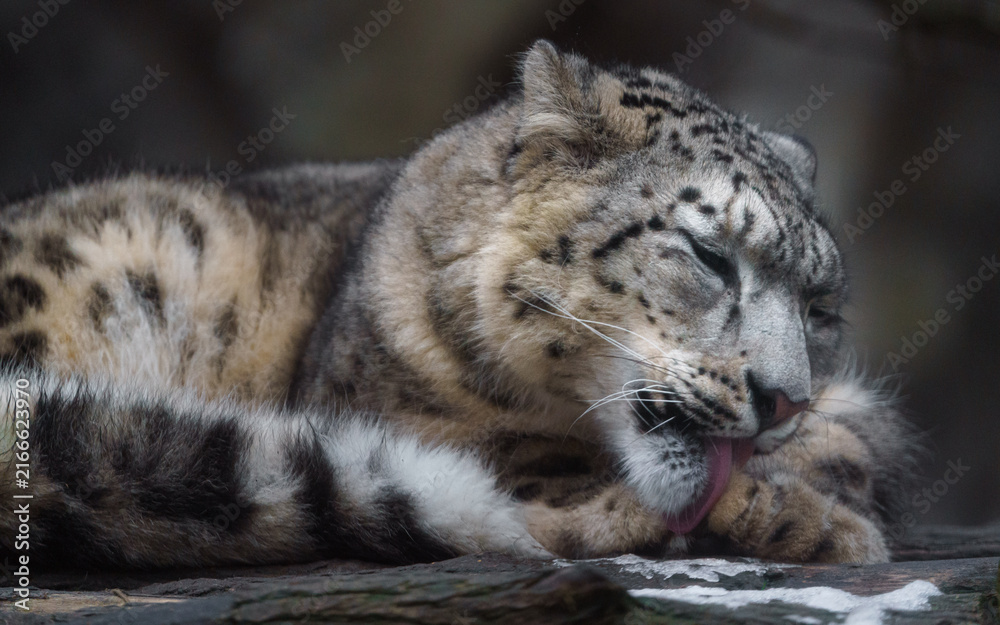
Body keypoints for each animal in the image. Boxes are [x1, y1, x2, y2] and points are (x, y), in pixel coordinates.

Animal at [0, 41, 919, 570]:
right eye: (708, 254)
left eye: (821, 309)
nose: (784, 398)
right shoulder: (400, 409)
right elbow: (526, 460)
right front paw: (806, 517)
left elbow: (856, 439)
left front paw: (812, 488)